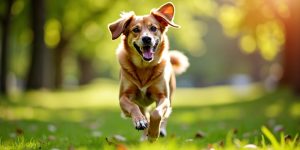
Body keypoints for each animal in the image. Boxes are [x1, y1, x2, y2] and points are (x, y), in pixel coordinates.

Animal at [108, 2, 189, 142]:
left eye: (153, 28)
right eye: (135, 29)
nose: (146, 39)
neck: (144, 67)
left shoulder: (163, 97)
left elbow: (156, 113)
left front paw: (153, 133)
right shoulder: (123, 97)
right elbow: (133, 107)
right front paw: (140, 122)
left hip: (170, 95)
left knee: (165, 115)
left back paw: (160, 130)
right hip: (141, 103)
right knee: (143, 112)